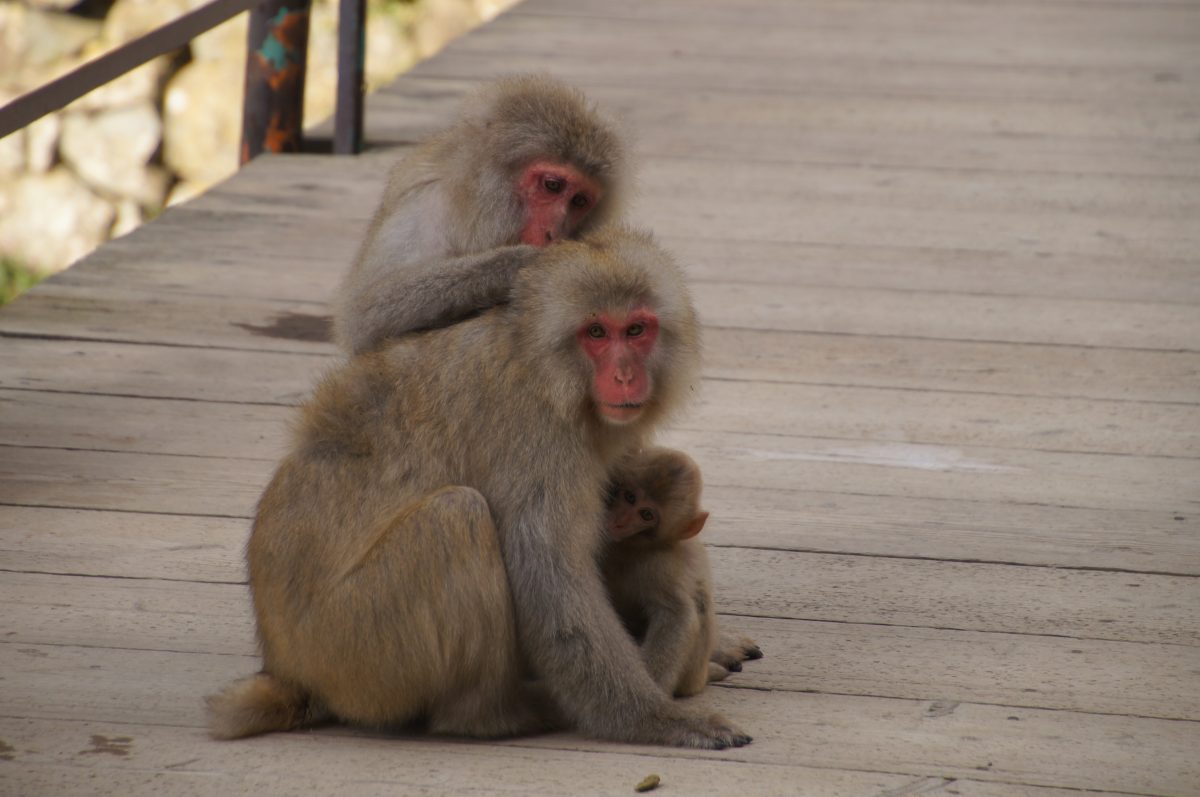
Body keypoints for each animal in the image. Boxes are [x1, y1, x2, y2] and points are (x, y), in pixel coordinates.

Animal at [207, 227, 751, 750]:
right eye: (597, 332)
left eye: (636, 330)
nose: (623, 375)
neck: (547, 370)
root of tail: (288, 667)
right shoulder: (537, 437)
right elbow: (550, 578)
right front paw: (654, 718)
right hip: (355, 650)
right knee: (457, 516)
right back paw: (491, 717)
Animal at [333, 74, 625, 356]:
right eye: (552, 185)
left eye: (579, 201)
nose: (555, 232)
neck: (473, 193)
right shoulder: (428, 204)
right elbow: (365, 316)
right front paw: (518, 263)